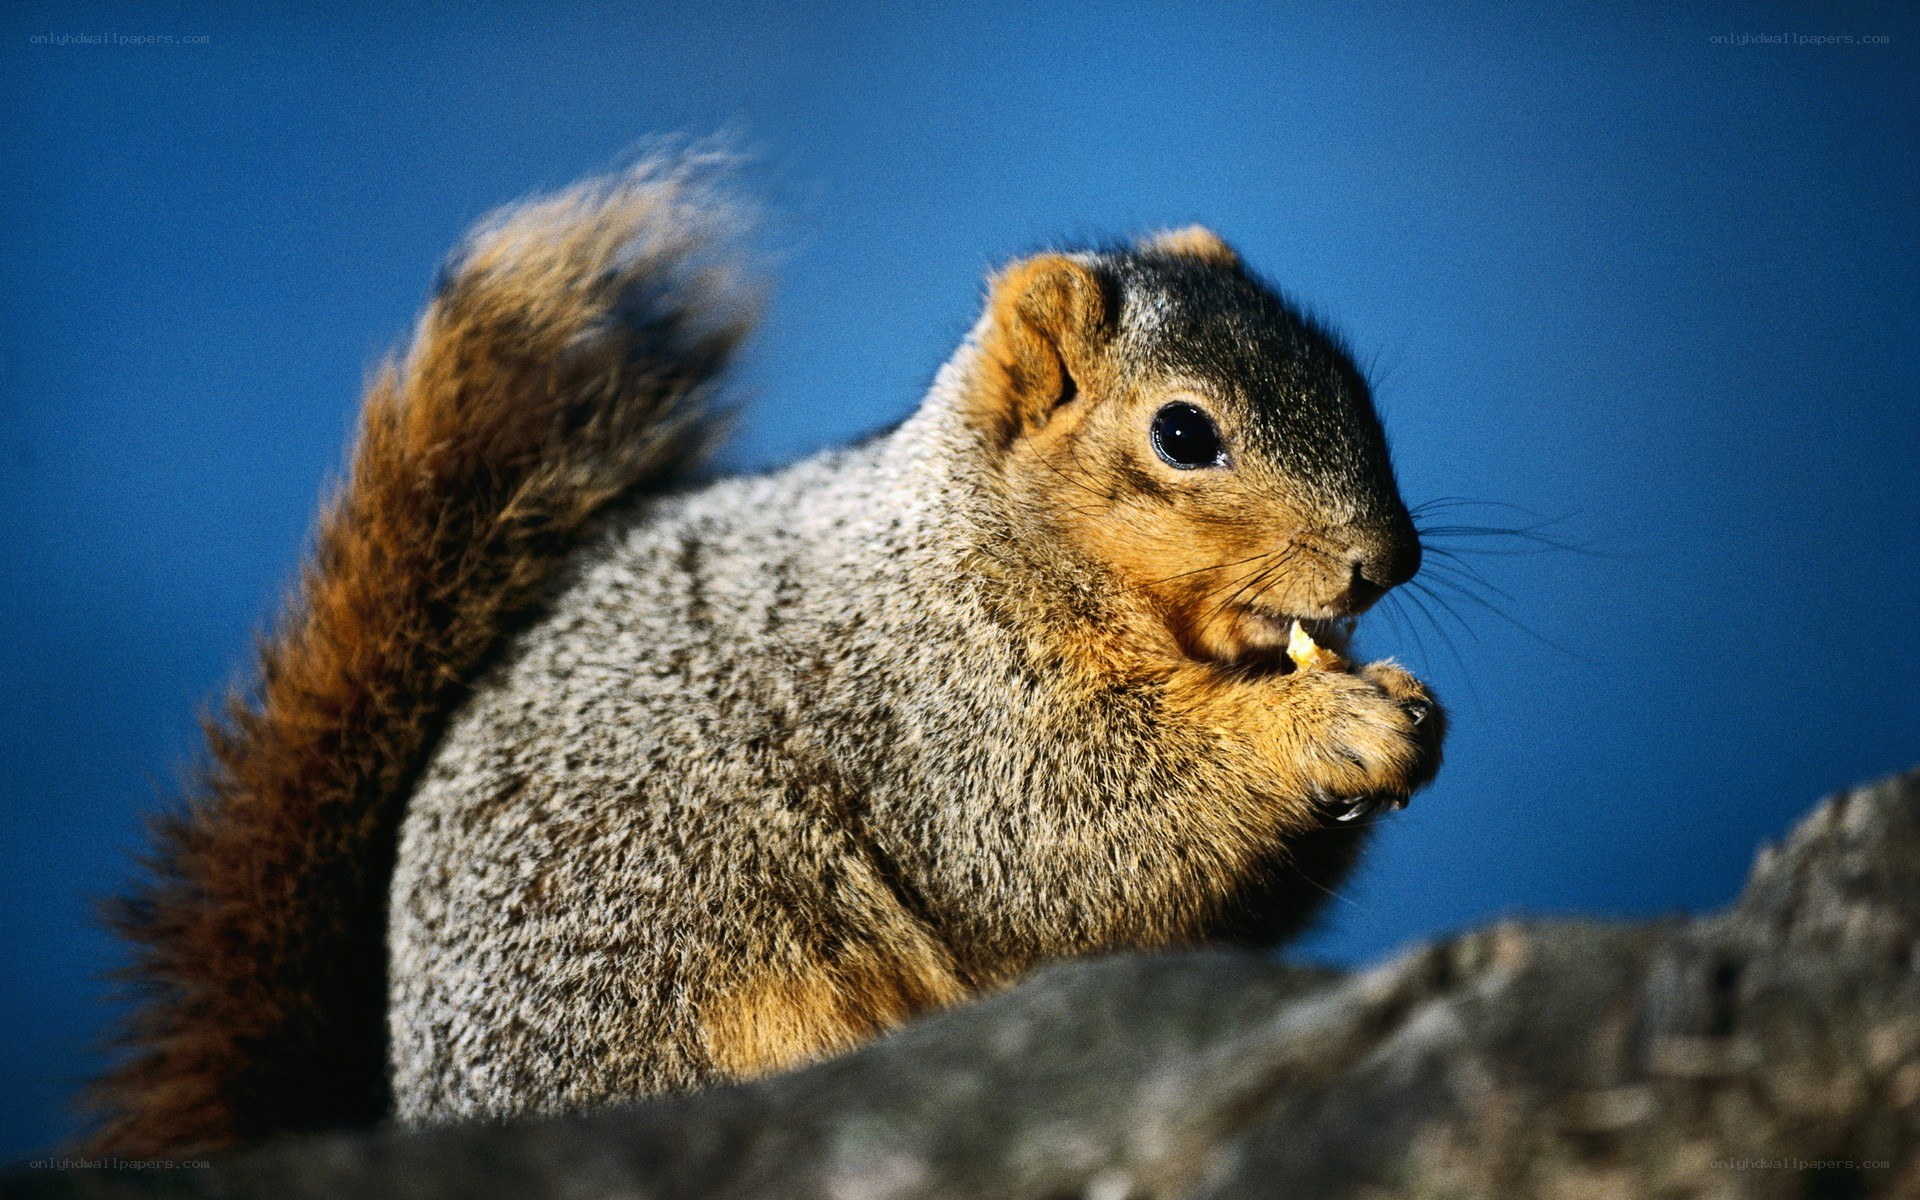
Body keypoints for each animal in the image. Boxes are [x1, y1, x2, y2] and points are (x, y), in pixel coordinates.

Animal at [87, 150, 1443, 1154]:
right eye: (1183, 433)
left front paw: (1411, 717)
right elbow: (1074, 835)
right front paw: (1336, 725)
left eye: (1348, 375)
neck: (984, 536)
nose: (1384, 561)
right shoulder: (938, 704)